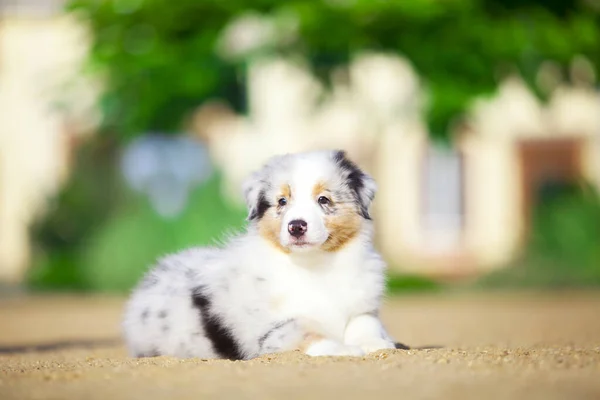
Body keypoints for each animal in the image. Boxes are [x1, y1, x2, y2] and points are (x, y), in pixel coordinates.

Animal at [122, 149, 398, 360]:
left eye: (323, 199)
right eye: (282, 202)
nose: (296, 226)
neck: (314, 264)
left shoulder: (363, 307)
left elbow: (366, 323)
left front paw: (376, 343)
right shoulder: (268, 330)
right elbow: (304, 331)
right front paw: (343, 349)